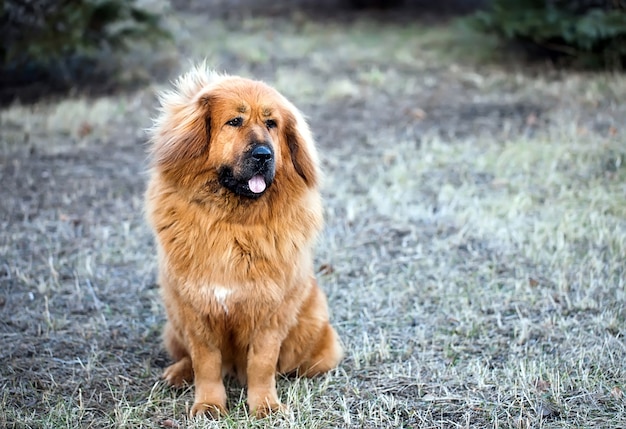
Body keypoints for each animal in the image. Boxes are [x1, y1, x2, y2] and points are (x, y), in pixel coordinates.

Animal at [144, 65, 344, 416]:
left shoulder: (269, 311)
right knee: (187, 357)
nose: (264, 154)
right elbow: (206, 362)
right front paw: (209, 405)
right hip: (174, 318)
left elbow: (262, 364)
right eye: (234, 121)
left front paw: (265, 406)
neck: (234, 224)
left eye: (271, 124)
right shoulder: (196, 309)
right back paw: (178, 372)